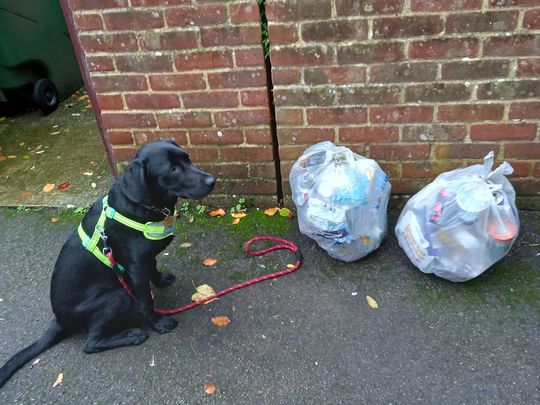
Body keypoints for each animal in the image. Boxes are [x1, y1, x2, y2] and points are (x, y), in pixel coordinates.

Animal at [0, 140, 215, 386]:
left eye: (188, 158)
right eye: (173, 170)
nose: (212, 180)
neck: (145, 206)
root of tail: (59, 321)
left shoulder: (143, 259)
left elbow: (153, 266)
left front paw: (161, 280)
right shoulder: (136, 268)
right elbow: (146, 301)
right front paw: (158, 323)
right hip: (118, 296)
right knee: (91, 343)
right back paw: (132, 335)